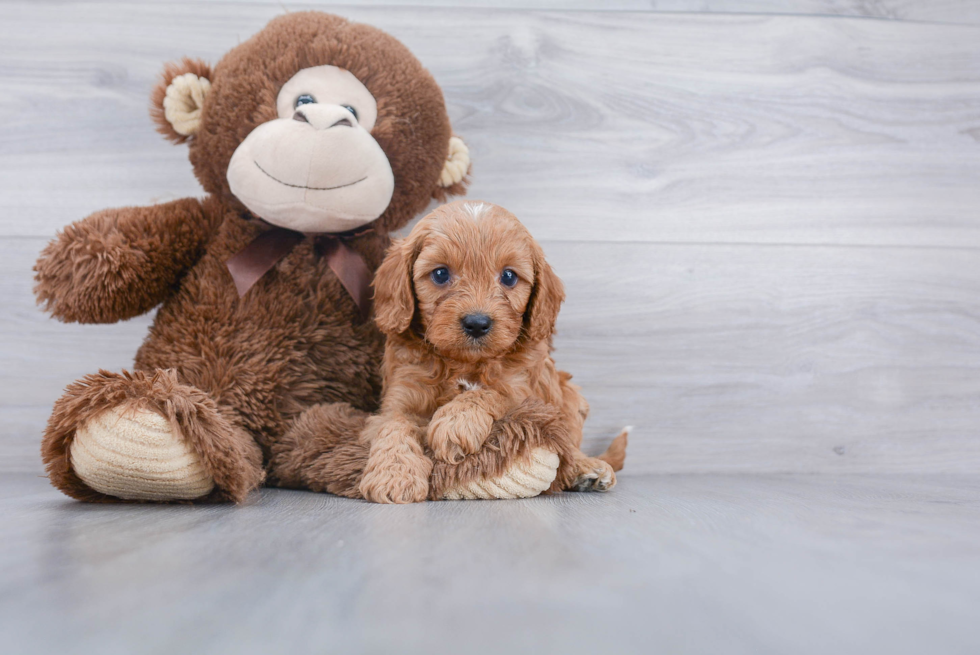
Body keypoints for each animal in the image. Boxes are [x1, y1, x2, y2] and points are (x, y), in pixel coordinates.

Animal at [358, 202, 628, 504]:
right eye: (440, 274)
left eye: (509, 276)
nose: (477, 323)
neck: (462, 362)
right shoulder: (398, 399)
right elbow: (394, 426)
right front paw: (394, 476)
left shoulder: (524, 392)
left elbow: (489, 392)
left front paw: (455, 422)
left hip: (569, 397)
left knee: (567, 444)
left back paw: (586, 467)